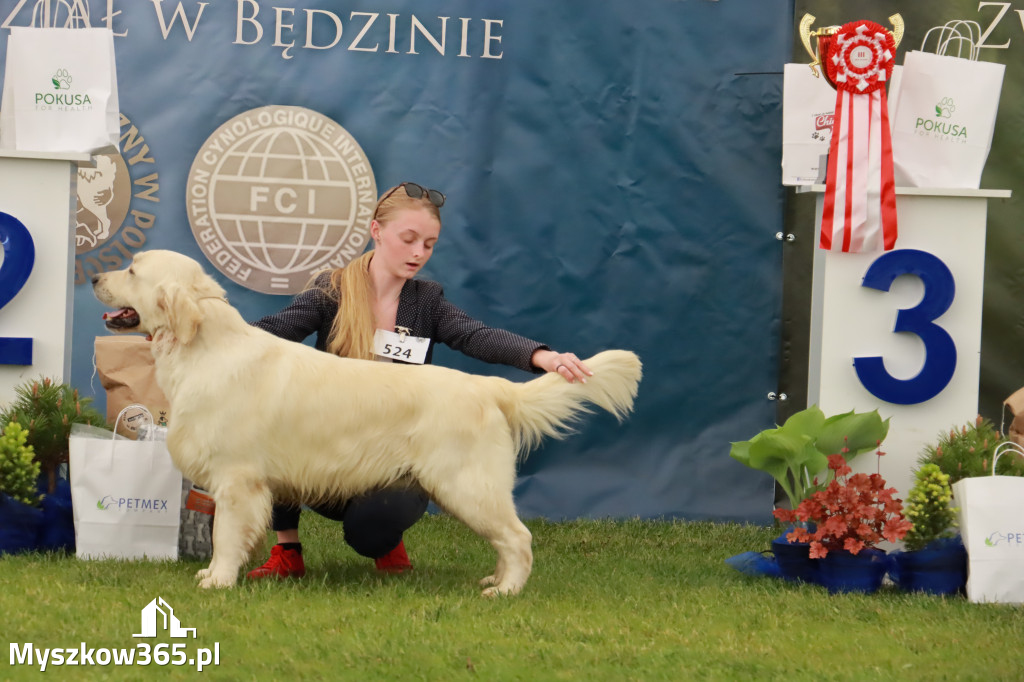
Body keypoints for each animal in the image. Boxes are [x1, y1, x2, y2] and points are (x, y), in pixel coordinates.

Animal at [94, 249, 638, 593]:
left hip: (467, 485)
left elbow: (226, 537)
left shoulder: (237, 479)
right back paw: (495, 579)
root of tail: (488, 387)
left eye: (132, 268)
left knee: (519, 538)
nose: (96, 277)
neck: (205, 348)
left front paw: (217, 580)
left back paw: (506, 591)